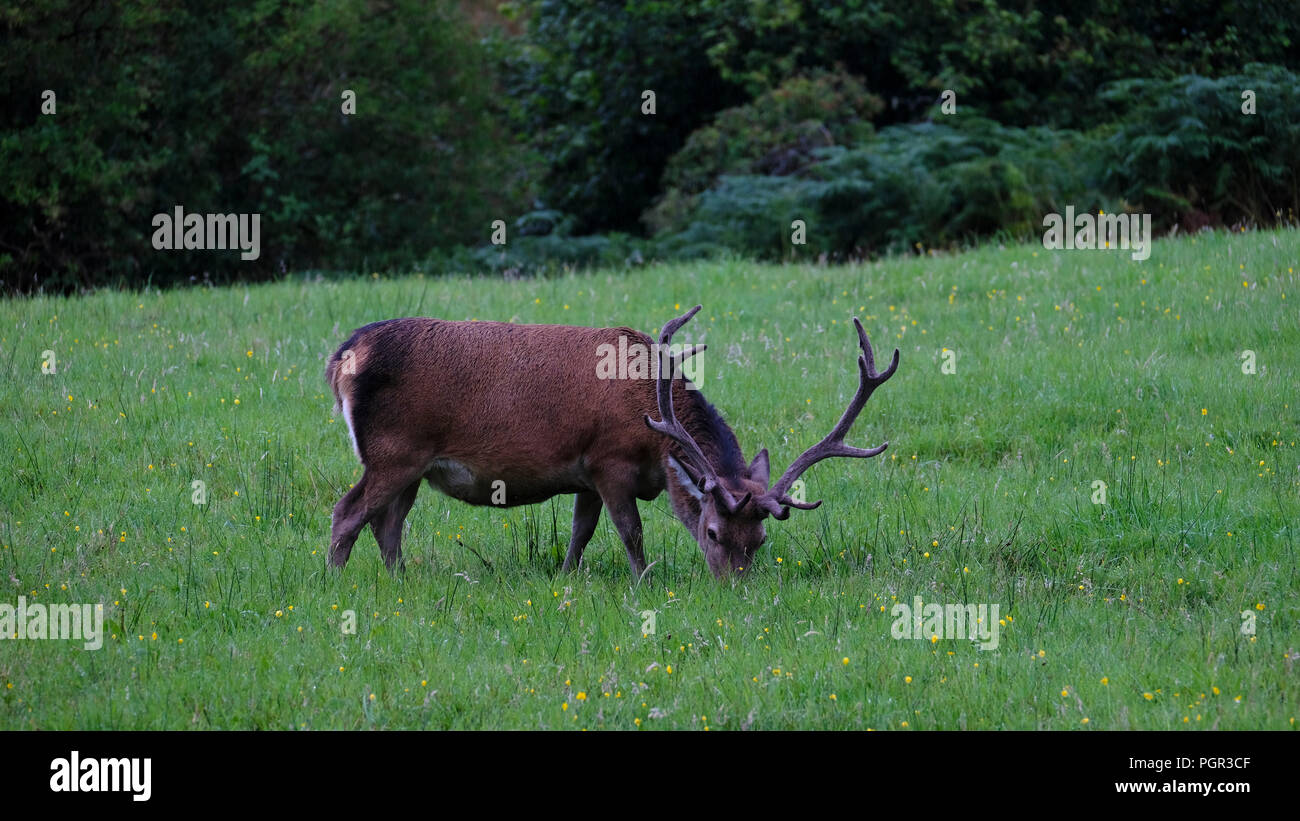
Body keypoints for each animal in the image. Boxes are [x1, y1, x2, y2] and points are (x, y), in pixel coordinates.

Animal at [324, 305, 898, 580]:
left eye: (758, 542)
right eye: (712, 532)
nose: (734, 587)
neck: (653, 437)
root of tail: (342, 356)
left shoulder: (584, 474)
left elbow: (580, 533)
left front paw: (566, 577)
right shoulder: (608, 461)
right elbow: (631, 532)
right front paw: (644, 582)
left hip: (414, 464)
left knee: (387, 524)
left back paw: (403, 581)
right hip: (393, 450)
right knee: (347, 512)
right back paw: (333, 584)